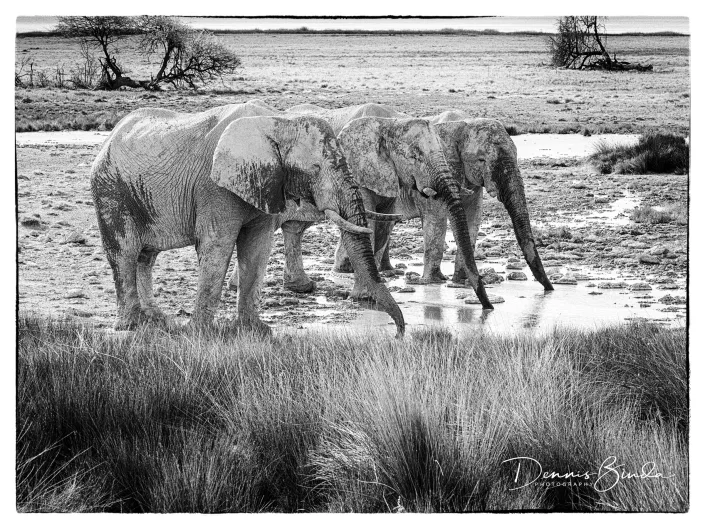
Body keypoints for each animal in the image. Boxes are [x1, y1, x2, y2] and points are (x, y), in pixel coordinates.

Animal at [90, 101, 406, 335]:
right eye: (315, 168)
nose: (398, 334)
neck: (278, 121)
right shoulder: (213, 187)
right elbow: (217, 245)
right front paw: (200, 333)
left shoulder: (267, 183)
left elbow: (257, 247)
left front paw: (256, 331)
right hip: (111, 190)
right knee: (124, 252)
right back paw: (132, 326)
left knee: (146, 256)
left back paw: (156, 320)